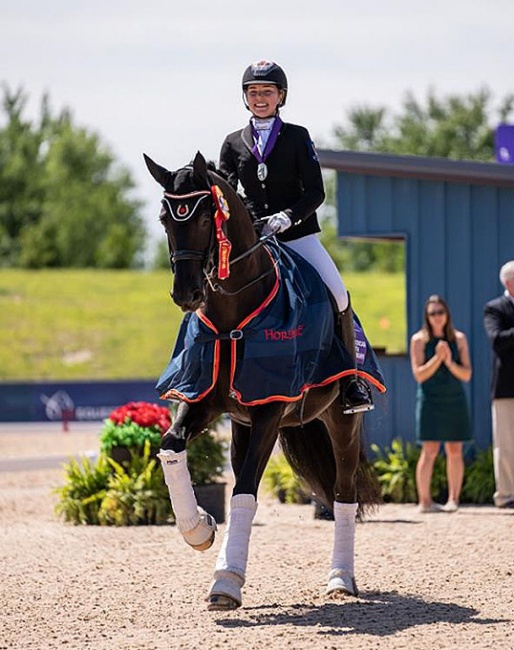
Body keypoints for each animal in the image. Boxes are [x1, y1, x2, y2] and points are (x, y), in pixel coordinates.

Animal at [143, 151, 380, 608]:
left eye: (206, 218)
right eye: (165, 218)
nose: (187, 295)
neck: (232, 314)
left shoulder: (270, 411)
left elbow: (246, 490)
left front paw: (226, 581)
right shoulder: (203, 399)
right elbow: (172, 448)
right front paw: (200, 530)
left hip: (341, 422)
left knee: (343, 494)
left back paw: (341, 579)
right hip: (241, 423)